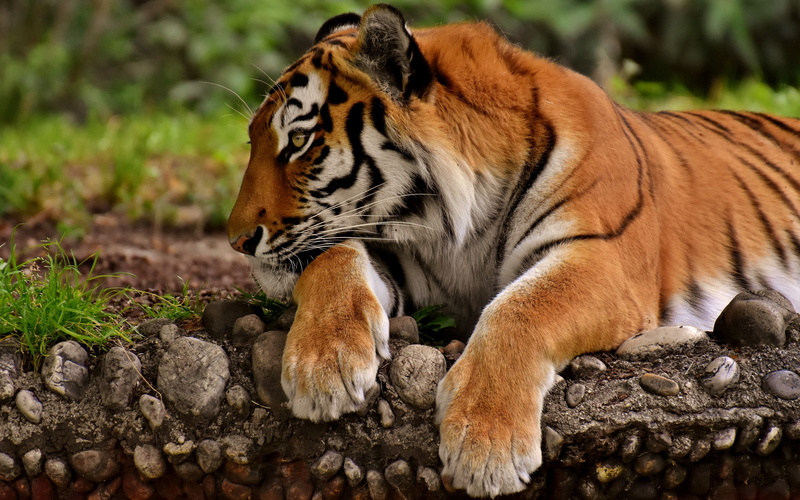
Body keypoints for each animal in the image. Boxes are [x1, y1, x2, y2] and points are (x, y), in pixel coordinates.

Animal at [226, 4, 800, 497]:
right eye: (253, 139)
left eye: (299, 143)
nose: (236, 240)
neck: (454, 224)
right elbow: (332, 258)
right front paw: (322, 367)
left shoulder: (602, 258)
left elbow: (522, 308)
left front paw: (485, 446)